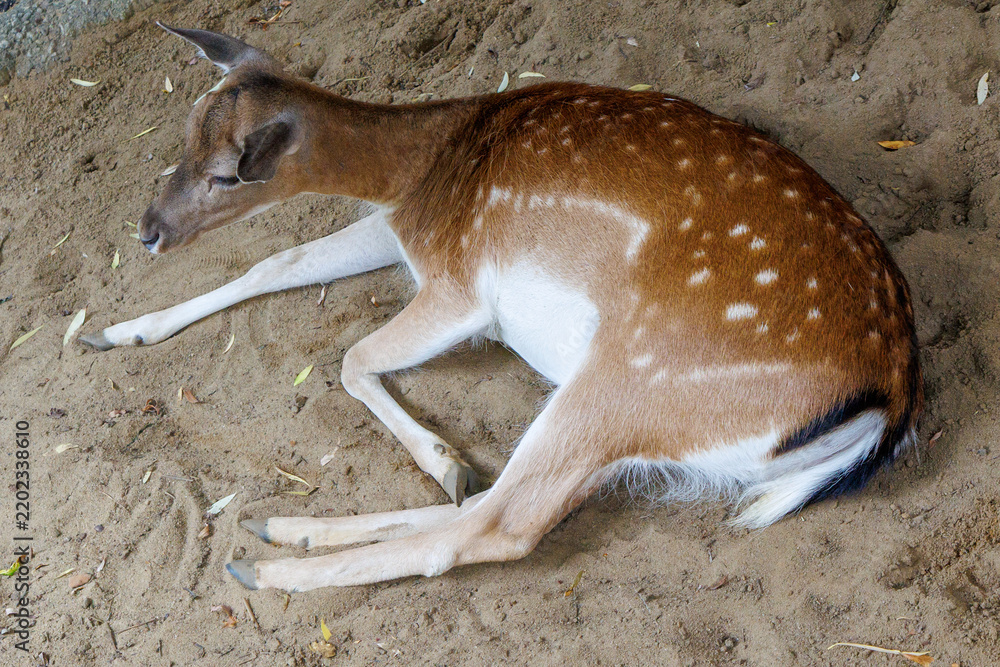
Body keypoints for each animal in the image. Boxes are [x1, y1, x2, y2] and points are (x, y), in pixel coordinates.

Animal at [80, 24, 922, 592]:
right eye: (183, 131)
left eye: (229, 173)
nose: (149, 230)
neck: (424, 167)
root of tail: (892, 403)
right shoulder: (400, 232)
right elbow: (277, 260)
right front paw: (112, 332)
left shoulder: (460, 286)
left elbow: (350, 356)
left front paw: (439, 454)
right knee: (498, 500)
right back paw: (290, 523)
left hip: (633, 374)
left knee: (497, 524)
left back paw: (268, 567)